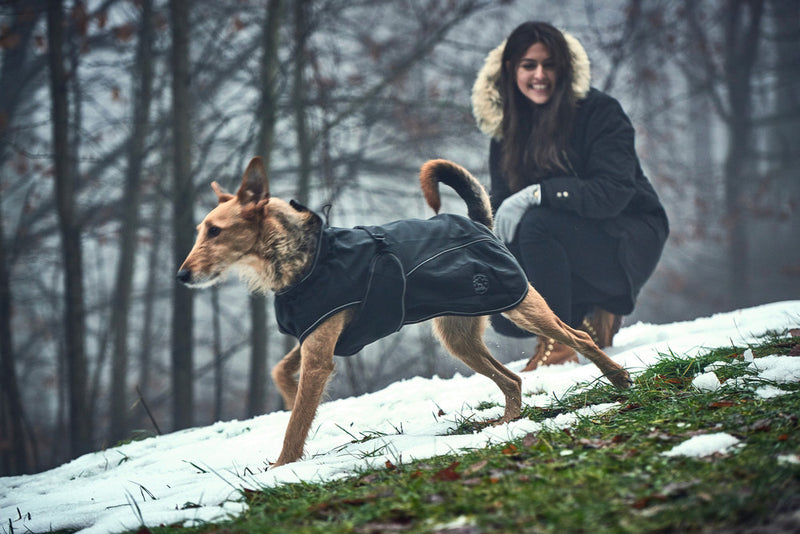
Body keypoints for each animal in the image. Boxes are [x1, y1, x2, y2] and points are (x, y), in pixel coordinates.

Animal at [177, 157, 632, 466]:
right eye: (202, 231)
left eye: (215, 231)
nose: (182, 275)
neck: (303, 257)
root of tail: (479, 222)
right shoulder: (313, 338)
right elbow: (282, 378)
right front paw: (291, 403)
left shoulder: (319, 353)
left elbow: (295, 426)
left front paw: (282, 467)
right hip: (459, 339)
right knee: (513, 379)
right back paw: (507, 422)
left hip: (521, 307)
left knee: (579, 336)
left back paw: (618, 378)